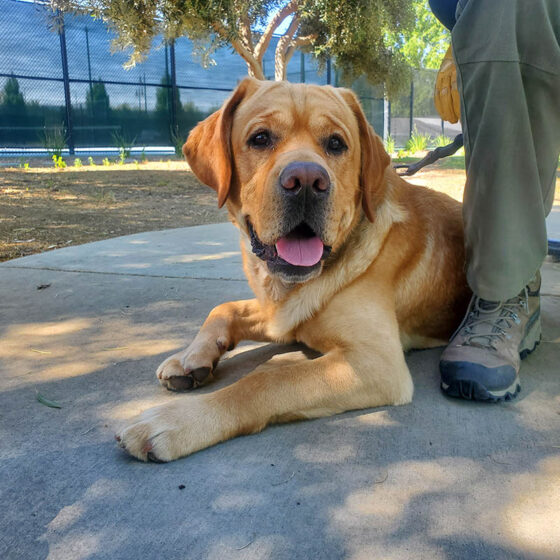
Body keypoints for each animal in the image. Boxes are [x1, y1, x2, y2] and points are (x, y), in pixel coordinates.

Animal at [116, 80, 470, 464]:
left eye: (336, 143)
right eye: (260, 138)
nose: (306, 180)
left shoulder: (376, 362)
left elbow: (263, 381)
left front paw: (178, 420)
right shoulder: (282, 314)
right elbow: (224, 308)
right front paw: (190, 357)